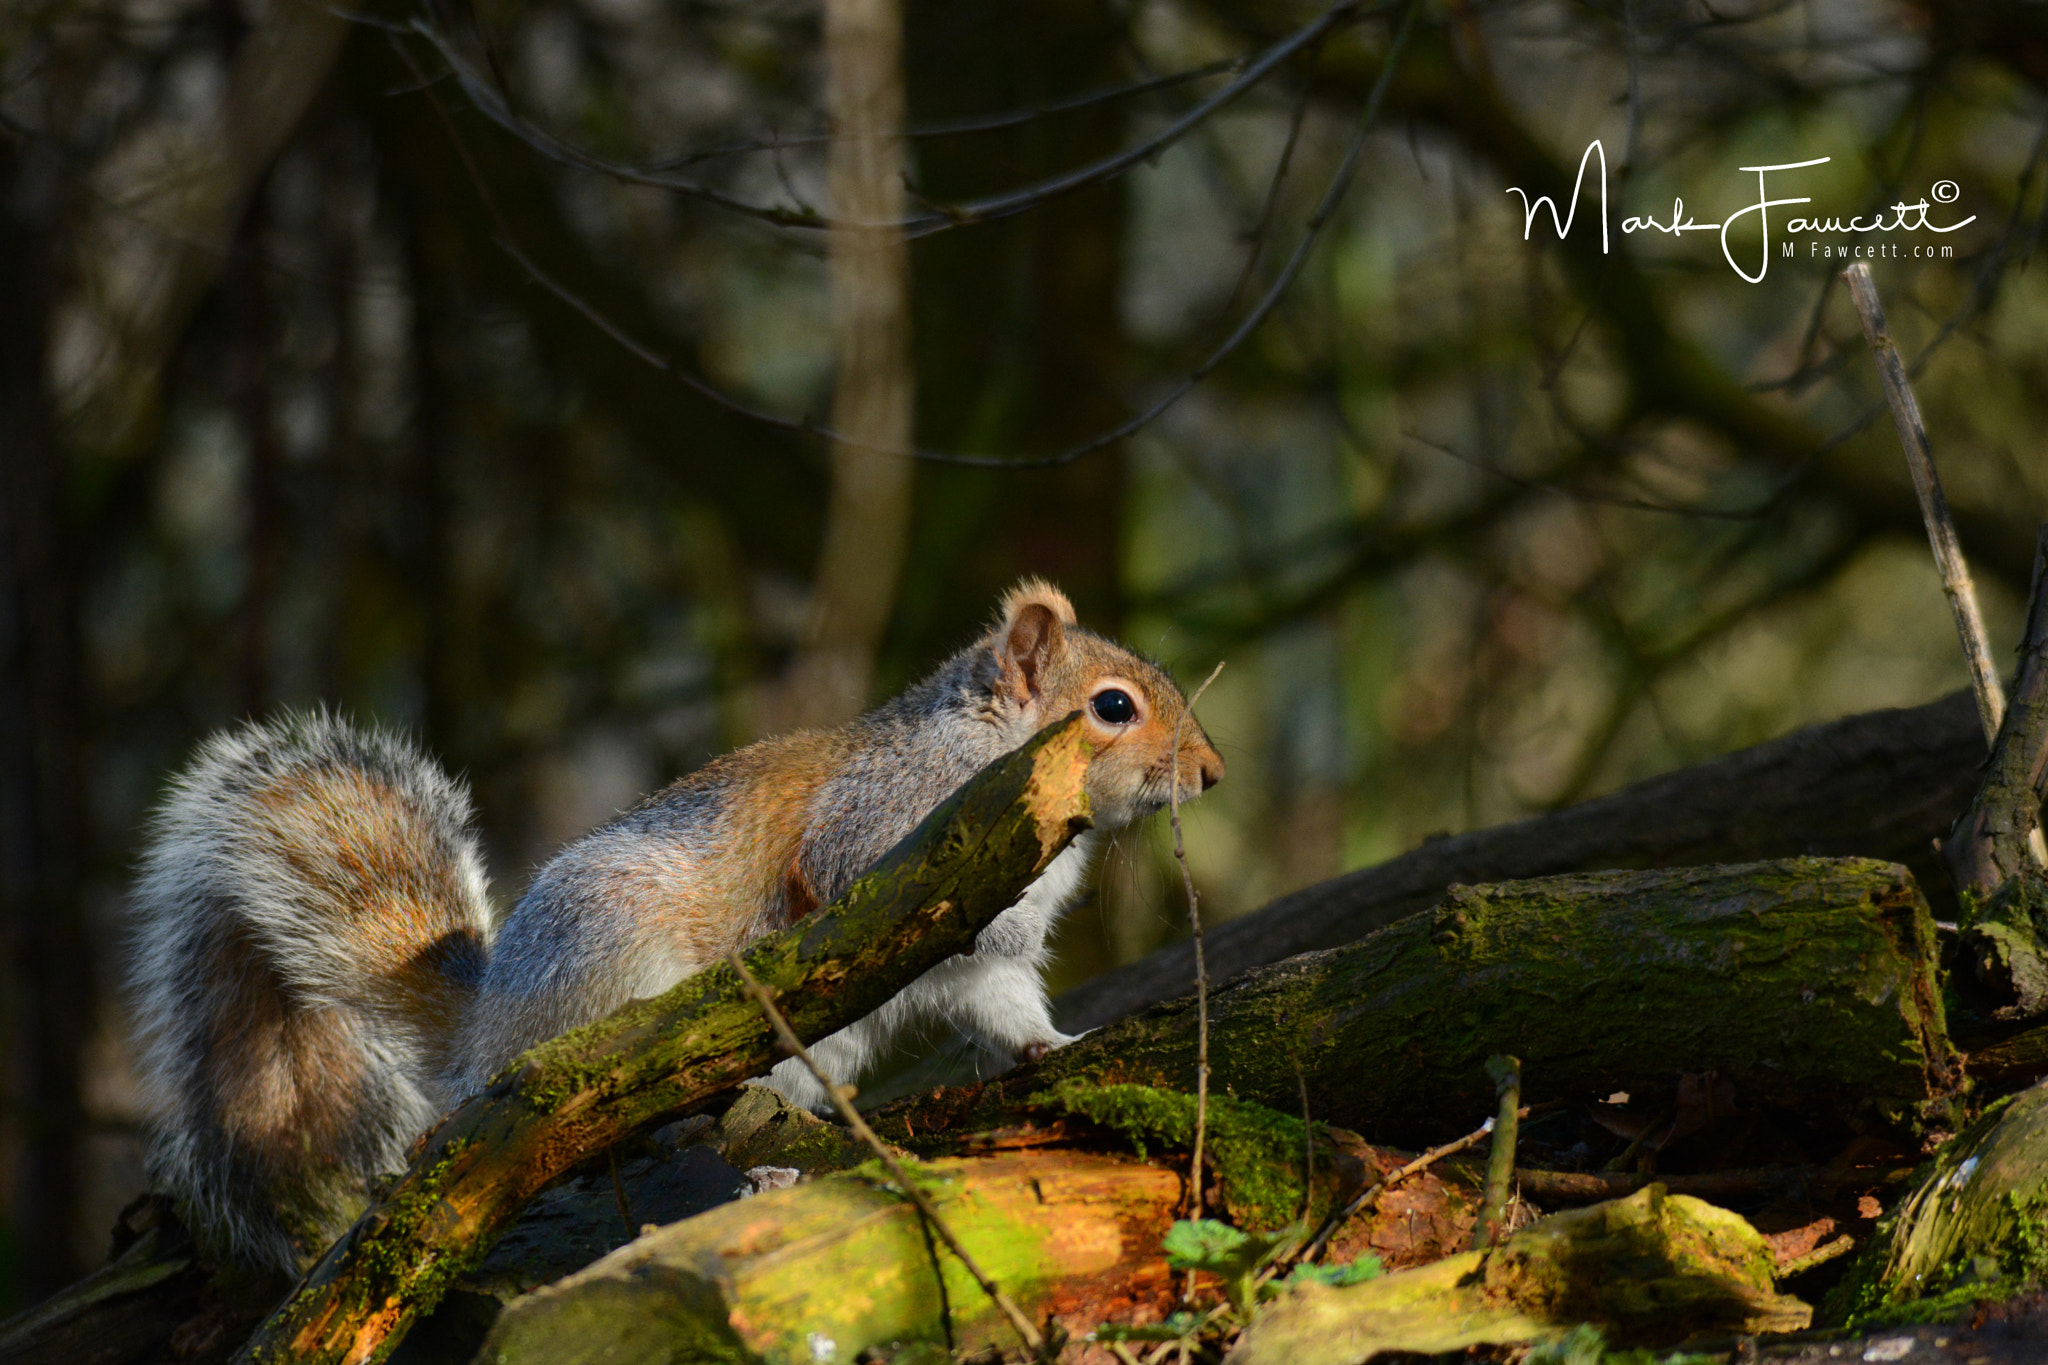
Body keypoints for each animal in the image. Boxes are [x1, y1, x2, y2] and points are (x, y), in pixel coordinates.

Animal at [128, 581, 1220, 1277]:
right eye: (1111, 707)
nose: (1211, 775)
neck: (989, 749)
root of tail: (485, 1038)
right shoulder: (892, 832)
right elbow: (863, 889)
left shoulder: (991, 952)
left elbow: (1003, 999)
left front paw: (1053, 1043)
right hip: (615, 981)